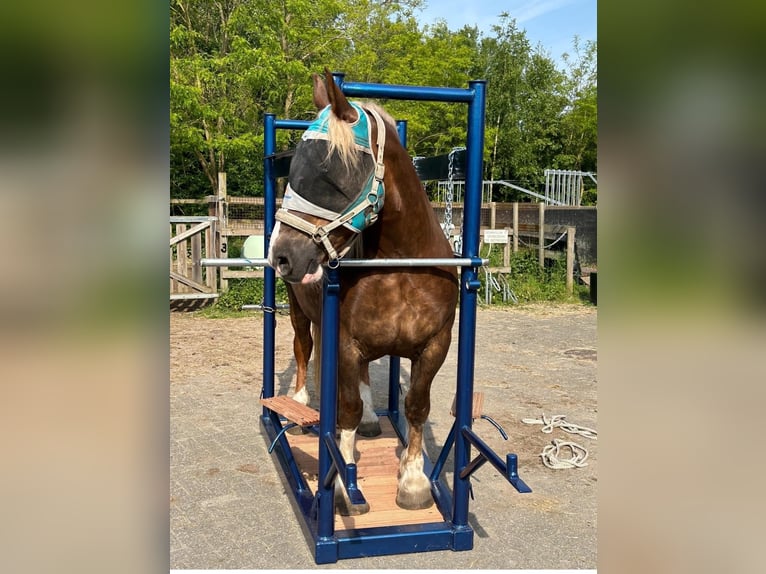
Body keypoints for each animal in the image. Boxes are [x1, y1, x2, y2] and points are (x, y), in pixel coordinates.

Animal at [268, 70, 460, 516]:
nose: (280, 255)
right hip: (297, 309)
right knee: (303, 349)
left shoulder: (435, 345)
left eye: (327, 170)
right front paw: (343, 484)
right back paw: (301, 401)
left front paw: (413, 481)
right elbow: (347, 410)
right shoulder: (344, 341)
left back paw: (374, 419)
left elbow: (415, 406)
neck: (403, 268)